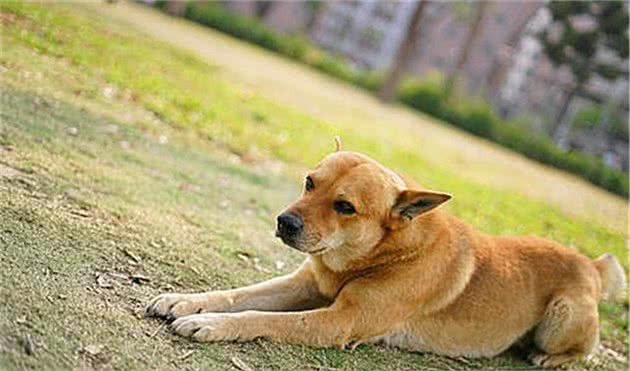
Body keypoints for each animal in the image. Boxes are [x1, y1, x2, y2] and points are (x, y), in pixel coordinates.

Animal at [147, 146, 628, 370]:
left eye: (345, 207)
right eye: (309, 182)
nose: (285, 222)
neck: (382, 254)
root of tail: (589, 264)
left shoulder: (339, 322)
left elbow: (261, 319)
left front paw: (212, 324)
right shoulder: (305, 283)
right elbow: (239, 294)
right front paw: (184, 301)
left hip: (562, 315)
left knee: (579, 350)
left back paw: (548, 357)